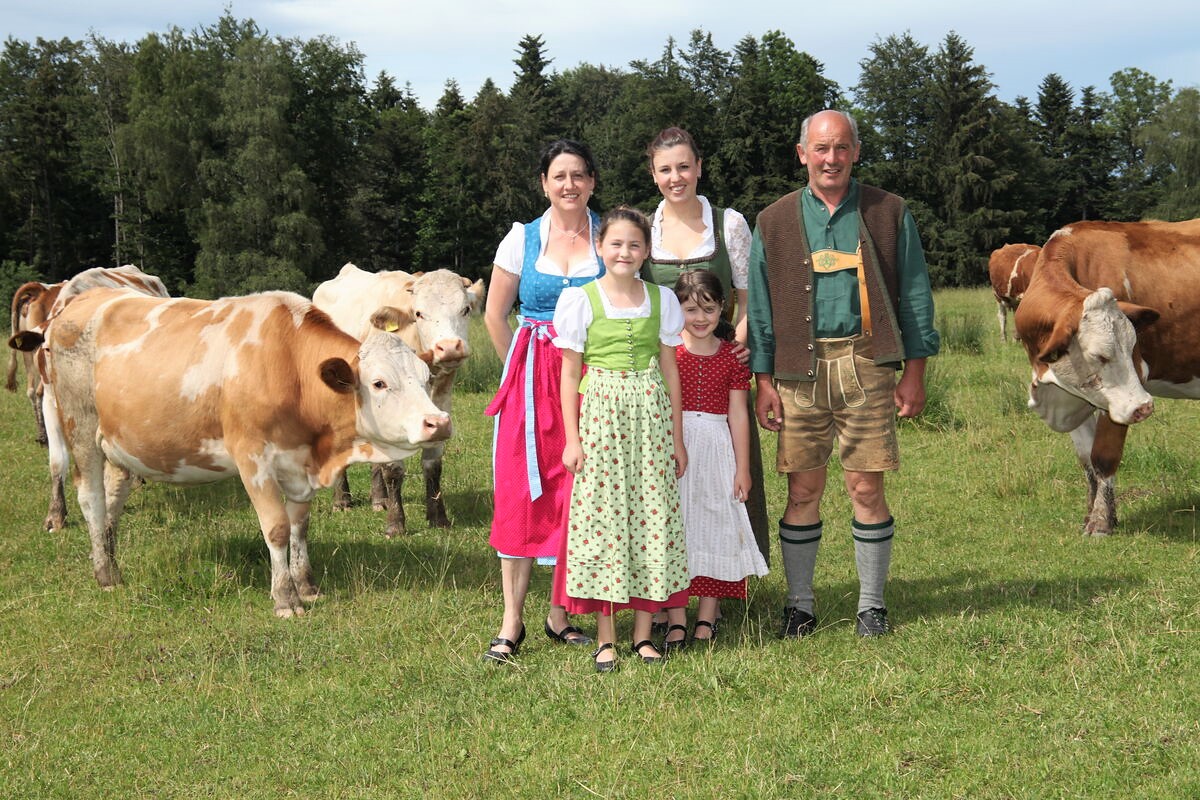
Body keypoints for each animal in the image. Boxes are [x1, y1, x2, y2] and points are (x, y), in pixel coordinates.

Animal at [14, 289, 451, 618]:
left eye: (426, 377)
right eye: (379, 383)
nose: (439, 422)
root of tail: (80, 301)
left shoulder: (298, 465)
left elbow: (300, 526)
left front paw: (307, 585)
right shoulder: (252, 458)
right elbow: (276, 528)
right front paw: (285, 599)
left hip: (120, 444)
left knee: (112, 499)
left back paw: (111, 561)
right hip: (79, 427)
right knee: (91, 498)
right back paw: (105, 574)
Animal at [312, 263, 484, 537]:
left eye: (465, 309)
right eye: (419, 313)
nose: (449, 347)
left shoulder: (441, 400)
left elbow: (433, 462)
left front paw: (438, 517)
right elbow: (393, 469)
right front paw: (396, 523)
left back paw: (379, 499)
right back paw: (342, 500)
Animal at [1017, 219, 1200, 534]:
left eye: (1132, 345)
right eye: (1099, 355)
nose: (1144, 407)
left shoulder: (1123, 393)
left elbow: (1102, 456)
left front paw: (1101, 522)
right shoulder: (1076, 392)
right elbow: (1086, 460)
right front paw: (1093, 513)